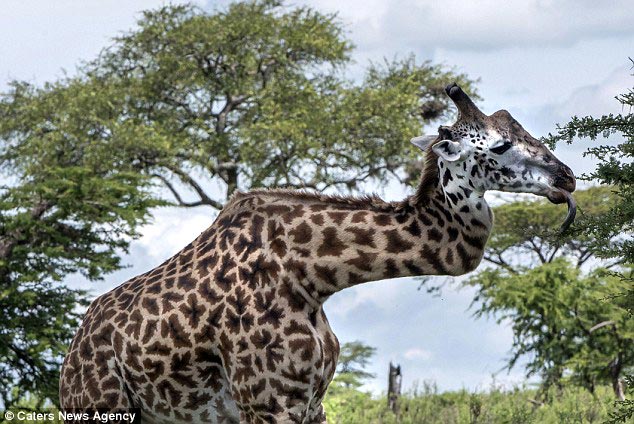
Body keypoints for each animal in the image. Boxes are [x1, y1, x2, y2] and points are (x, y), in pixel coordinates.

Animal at [61, 84, 576, 422]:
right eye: (501, 145)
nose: (566, 178)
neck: (312, 276)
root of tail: (70, 358)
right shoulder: (267, 402)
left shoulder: (313, 402)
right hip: (99, 408)